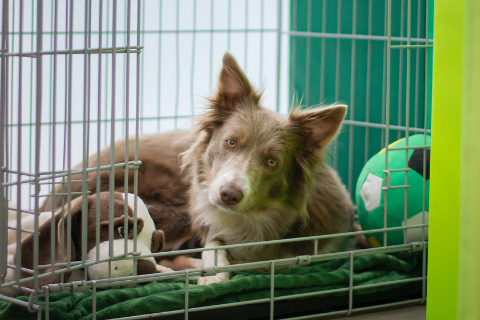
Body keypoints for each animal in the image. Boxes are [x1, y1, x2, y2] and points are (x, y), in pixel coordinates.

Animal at [42, 52, 364, 284]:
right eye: (231, 142)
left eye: (272, 161)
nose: (228, 195)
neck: (253, 221)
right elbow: (214, 246)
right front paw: (214, 272)